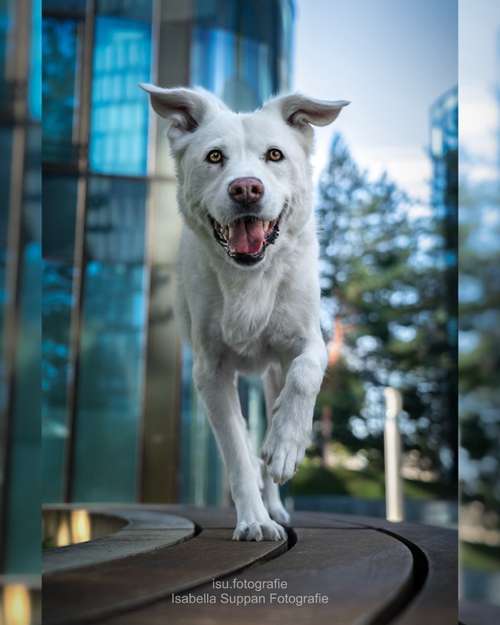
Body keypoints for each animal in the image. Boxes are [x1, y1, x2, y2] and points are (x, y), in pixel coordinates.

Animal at [141, 84, 348, 540]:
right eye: (215, 156)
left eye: (275, 155)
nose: (246, 189)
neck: (249, 277)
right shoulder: (212, 371)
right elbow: (237, 452)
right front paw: (253, 520)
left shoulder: (307, 340)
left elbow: (306, 373)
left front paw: (286, 446)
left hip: (271, 376)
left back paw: (277, 495)